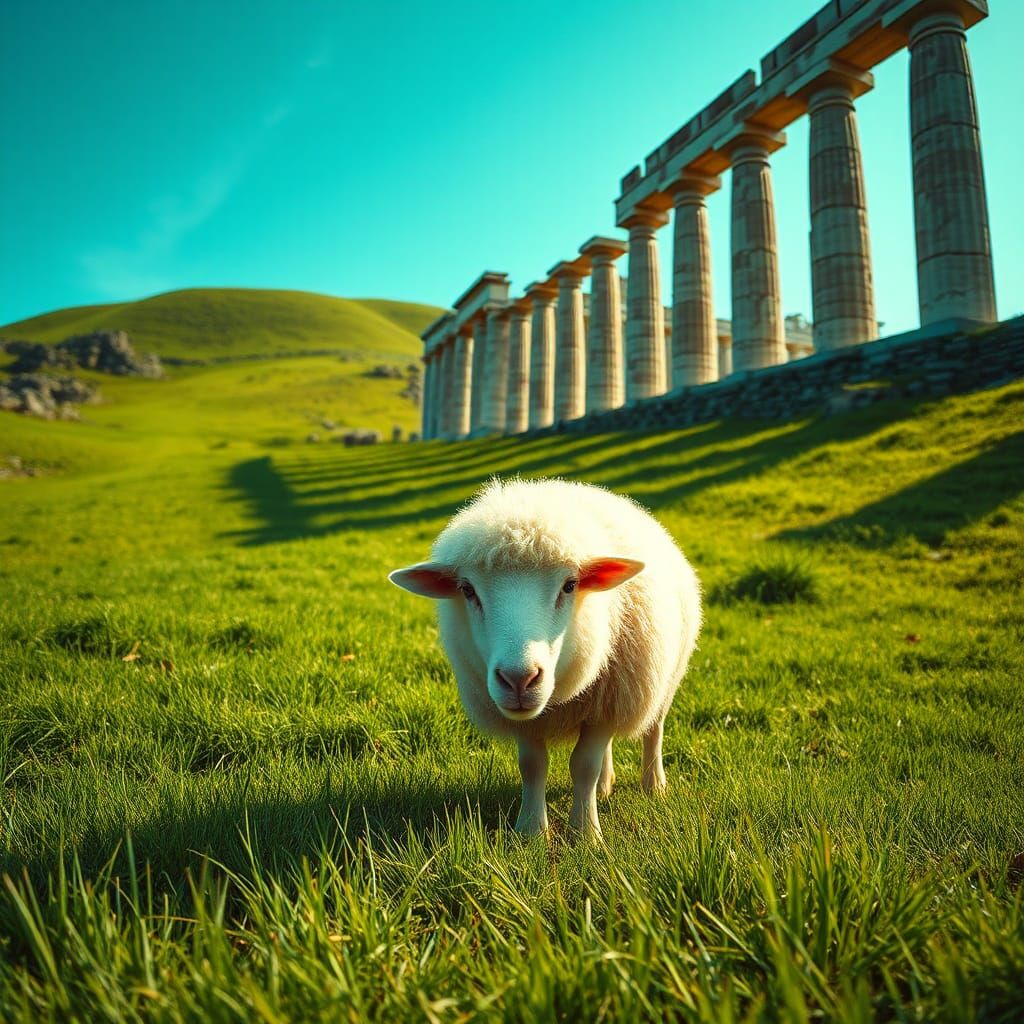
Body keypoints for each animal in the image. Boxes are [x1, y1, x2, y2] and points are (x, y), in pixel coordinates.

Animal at [389, 478, 702, 840]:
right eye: (467, 590)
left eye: (570, 585)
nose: (518, 679)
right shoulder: (529, 719)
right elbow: (533, 767)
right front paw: (531, 831)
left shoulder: (607, 704)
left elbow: (584, 766)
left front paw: (585, 834)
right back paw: (606, 785)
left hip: (662, 678)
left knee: (654, 728)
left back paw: (654, 784)